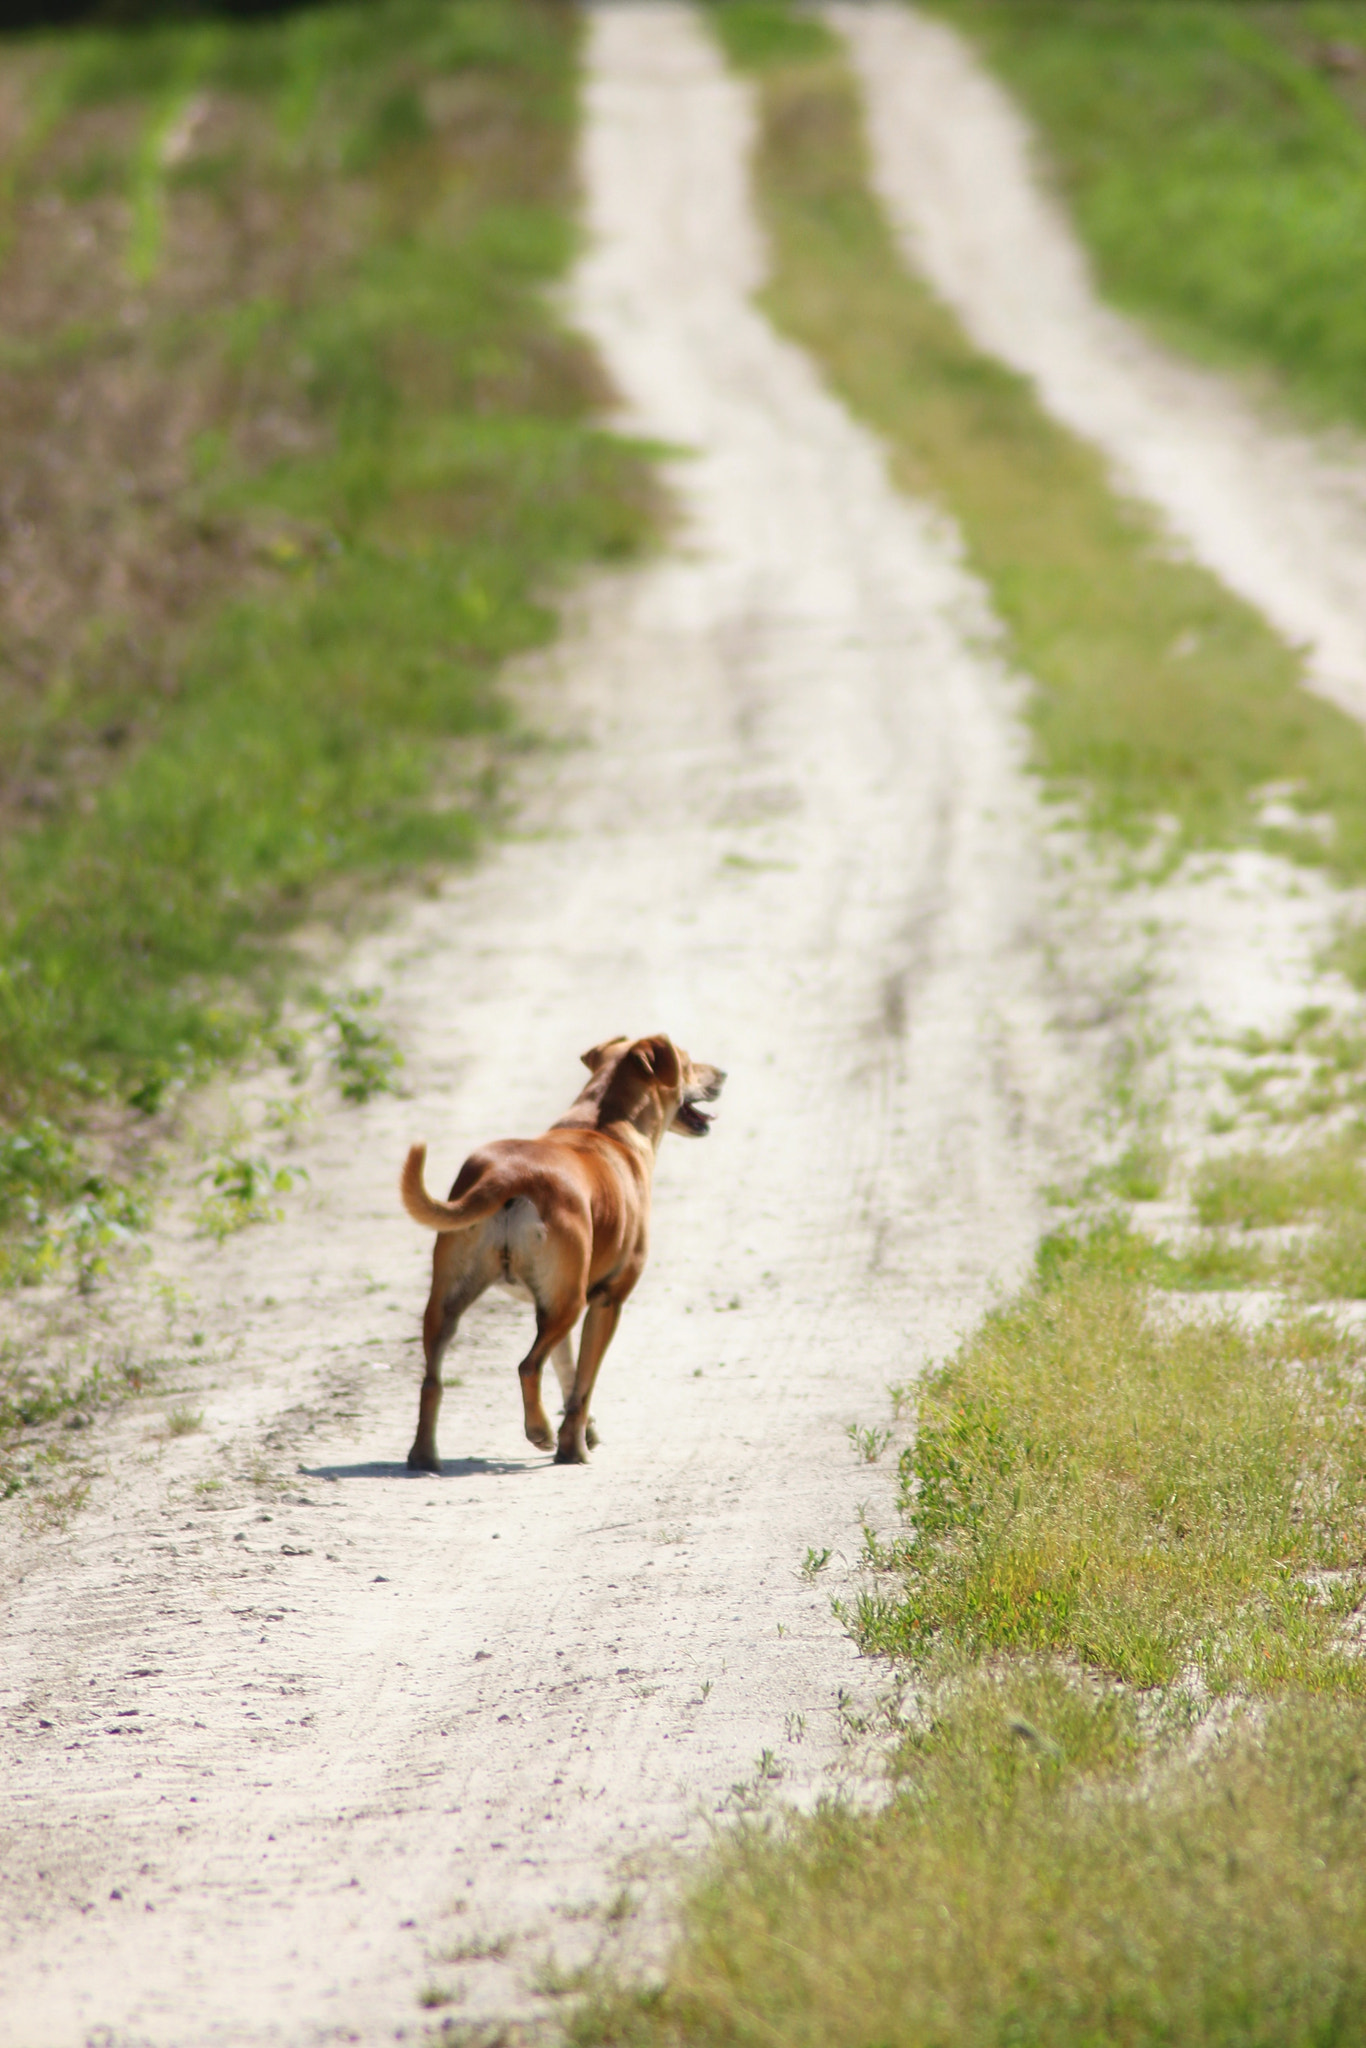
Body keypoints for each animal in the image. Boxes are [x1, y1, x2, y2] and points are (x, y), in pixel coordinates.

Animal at [397, 1032, 724, 1466]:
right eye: (688, 1063)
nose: (723, 1073)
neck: (605, 1125)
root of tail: (507, 1175)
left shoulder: (549, 1305)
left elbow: (567, 1372)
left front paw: (585, 1433)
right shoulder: (605, 1301)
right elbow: (582, 1386)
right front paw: (575, 1445)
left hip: (449, 1302)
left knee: (432, 1380)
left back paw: (423, 1454)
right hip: (568, 1305)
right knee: (527, 1367)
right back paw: (539, 1432)